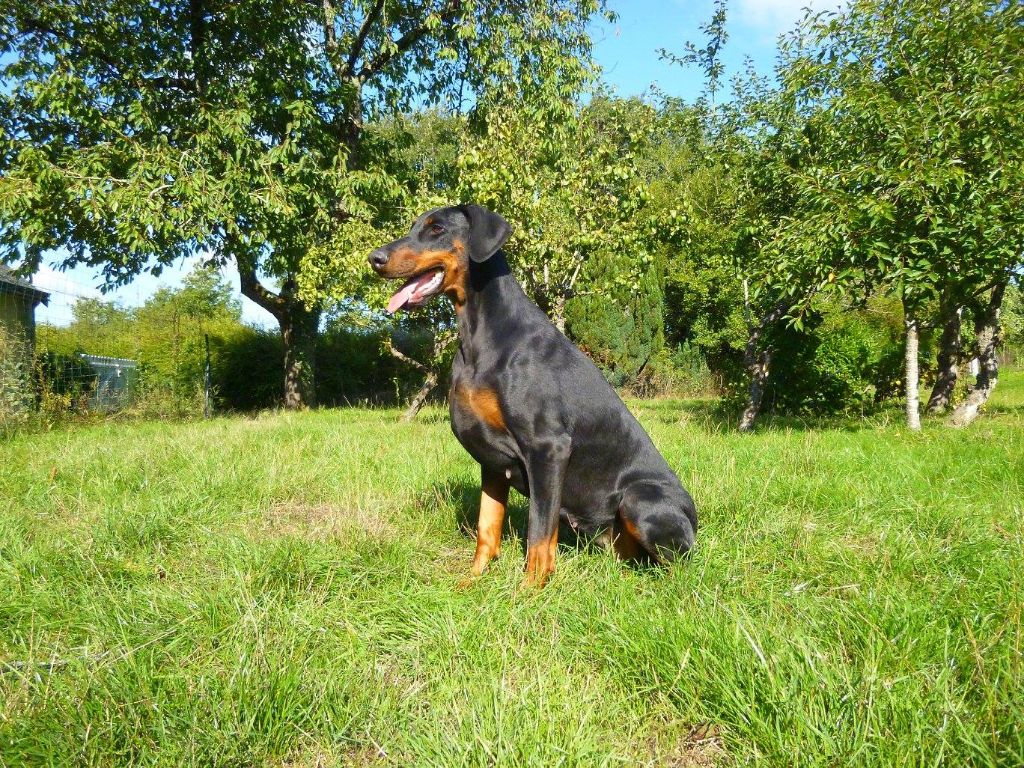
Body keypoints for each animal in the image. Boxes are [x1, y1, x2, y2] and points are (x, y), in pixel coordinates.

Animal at [368, 204, 696, 589]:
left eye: (437, 229)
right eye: (413, 226)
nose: (374, 258)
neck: (478, 336)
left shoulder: (547, 448)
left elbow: (538, 535)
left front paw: (528, 591)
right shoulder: (492, 461)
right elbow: (488, 527)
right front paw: (473, 581)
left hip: (640, 499)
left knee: (677, 566)